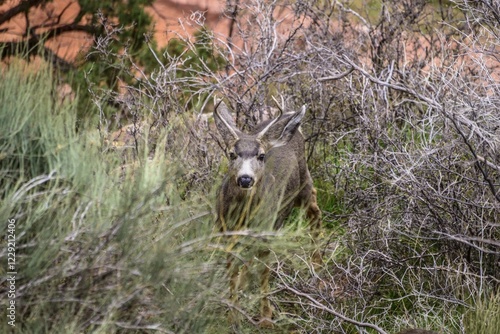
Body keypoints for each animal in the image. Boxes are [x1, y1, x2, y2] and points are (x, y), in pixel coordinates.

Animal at [213, 100, 318, 328]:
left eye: (261, 156)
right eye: (231, 154)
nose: (245, 179)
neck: (243, 216)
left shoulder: (266, 230)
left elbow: (264, 271)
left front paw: (266, 318)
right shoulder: (226, 233)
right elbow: (232, 271)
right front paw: (233, 316)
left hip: (303, 181)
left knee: (314, 209)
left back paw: (318, 263)